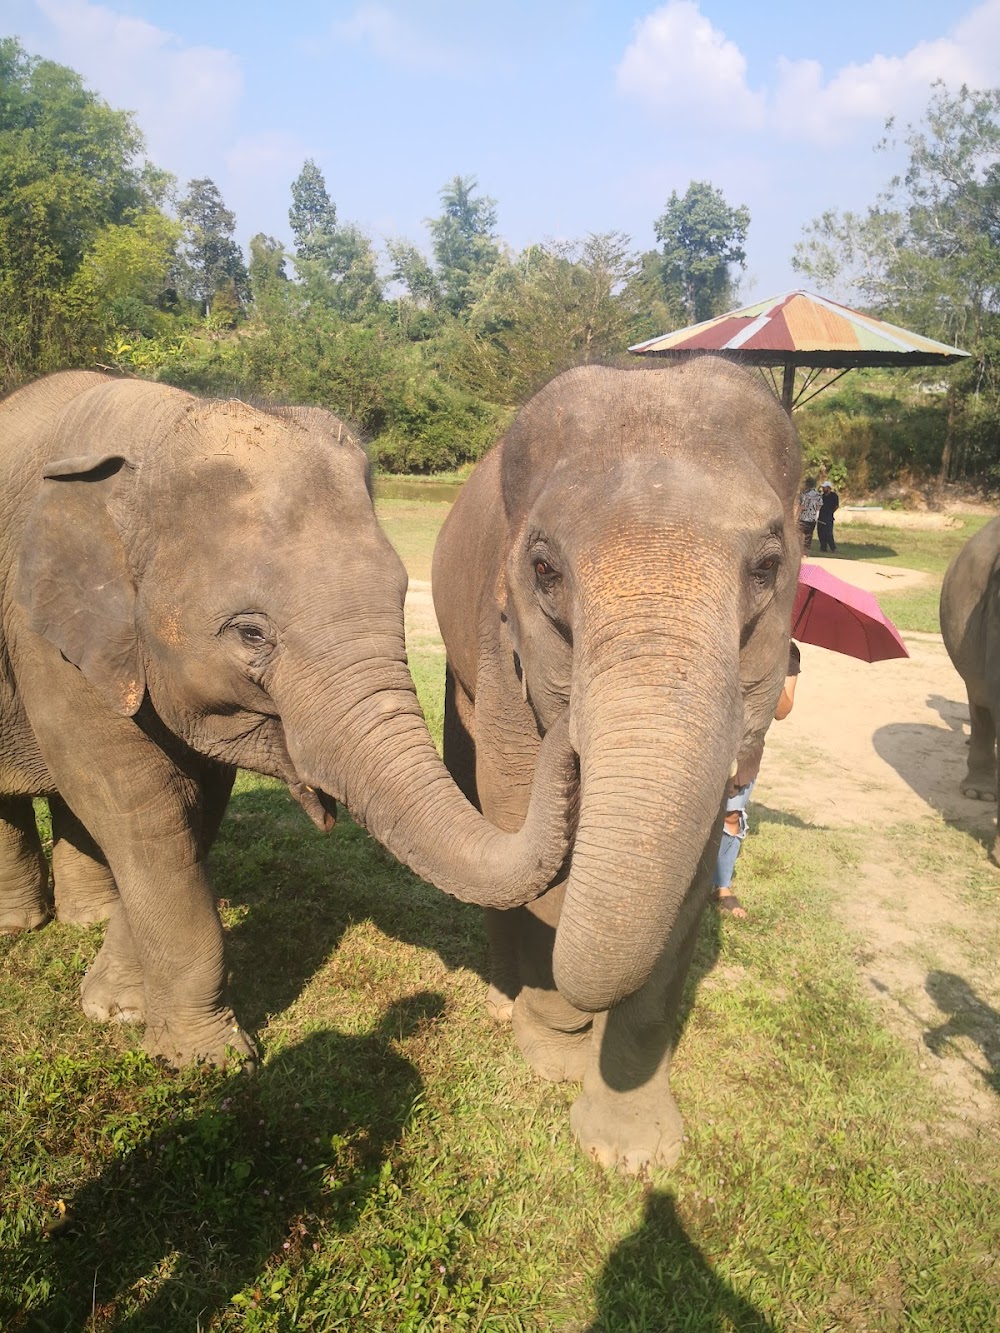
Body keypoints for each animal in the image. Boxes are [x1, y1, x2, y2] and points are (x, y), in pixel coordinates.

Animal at [0, 373, 576, 1071]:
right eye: (250, 632)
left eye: (398, 596)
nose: (565, 720)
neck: (159, 426)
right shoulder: (42, 638)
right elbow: (136, 806)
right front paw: (211, 1062)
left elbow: (194, 807)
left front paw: (120, 1009)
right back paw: (20, 927)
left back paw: (78, 919)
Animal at [434, 359, 805, 1173]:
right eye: (544, 569)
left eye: (768, 567)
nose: (569, 748)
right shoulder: (498, 643)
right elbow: (511, 814)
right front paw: (551, 1054)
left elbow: (689, 874)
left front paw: (631, 1151)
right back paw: (503, 999)